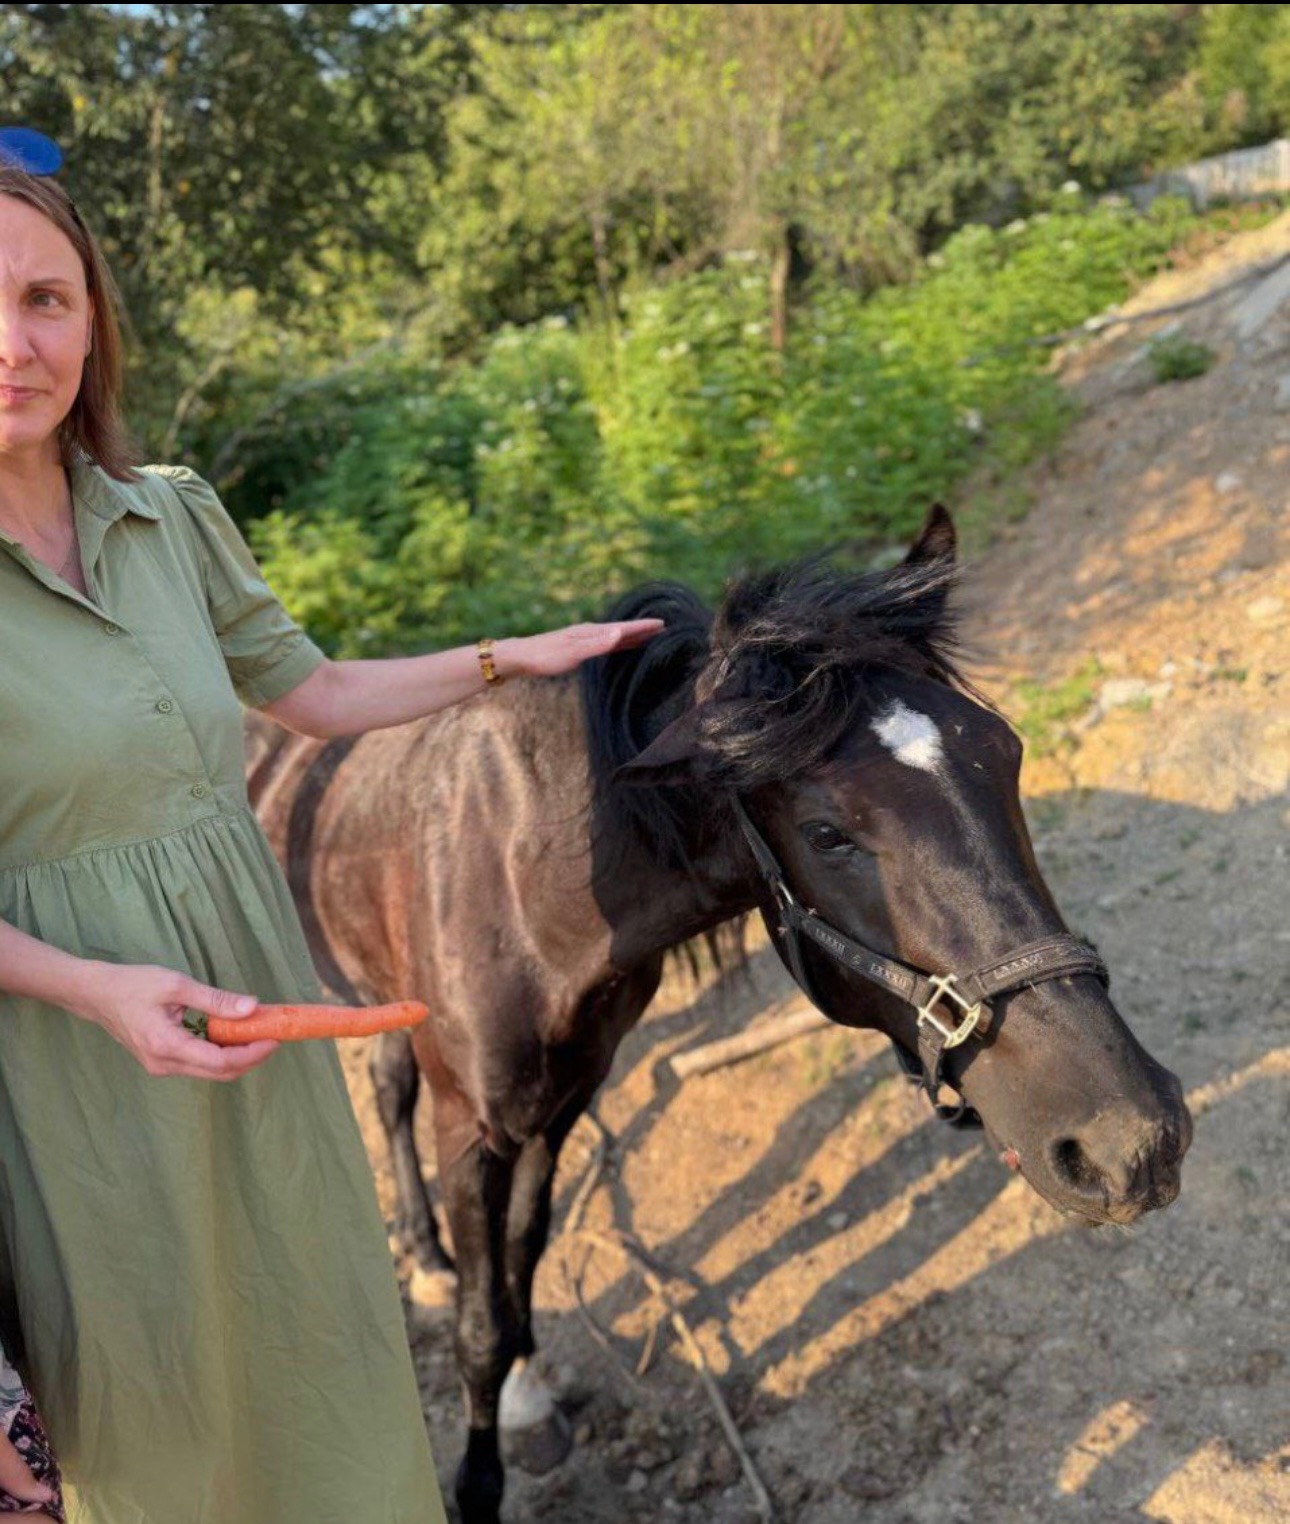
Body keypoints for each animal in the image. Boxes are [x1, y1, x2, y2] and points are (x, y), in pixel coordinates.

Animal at [245, 506, 1192, 1524]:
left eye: (1006, 755)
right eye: (826, 831)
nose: (1132, 1140)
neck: (519, 874)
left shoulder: (564, 1099)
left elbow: (524, 1257)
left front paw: (531, 1393)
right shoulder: (475, 1125)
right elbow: (479, 1324)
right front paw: (483, 1469)